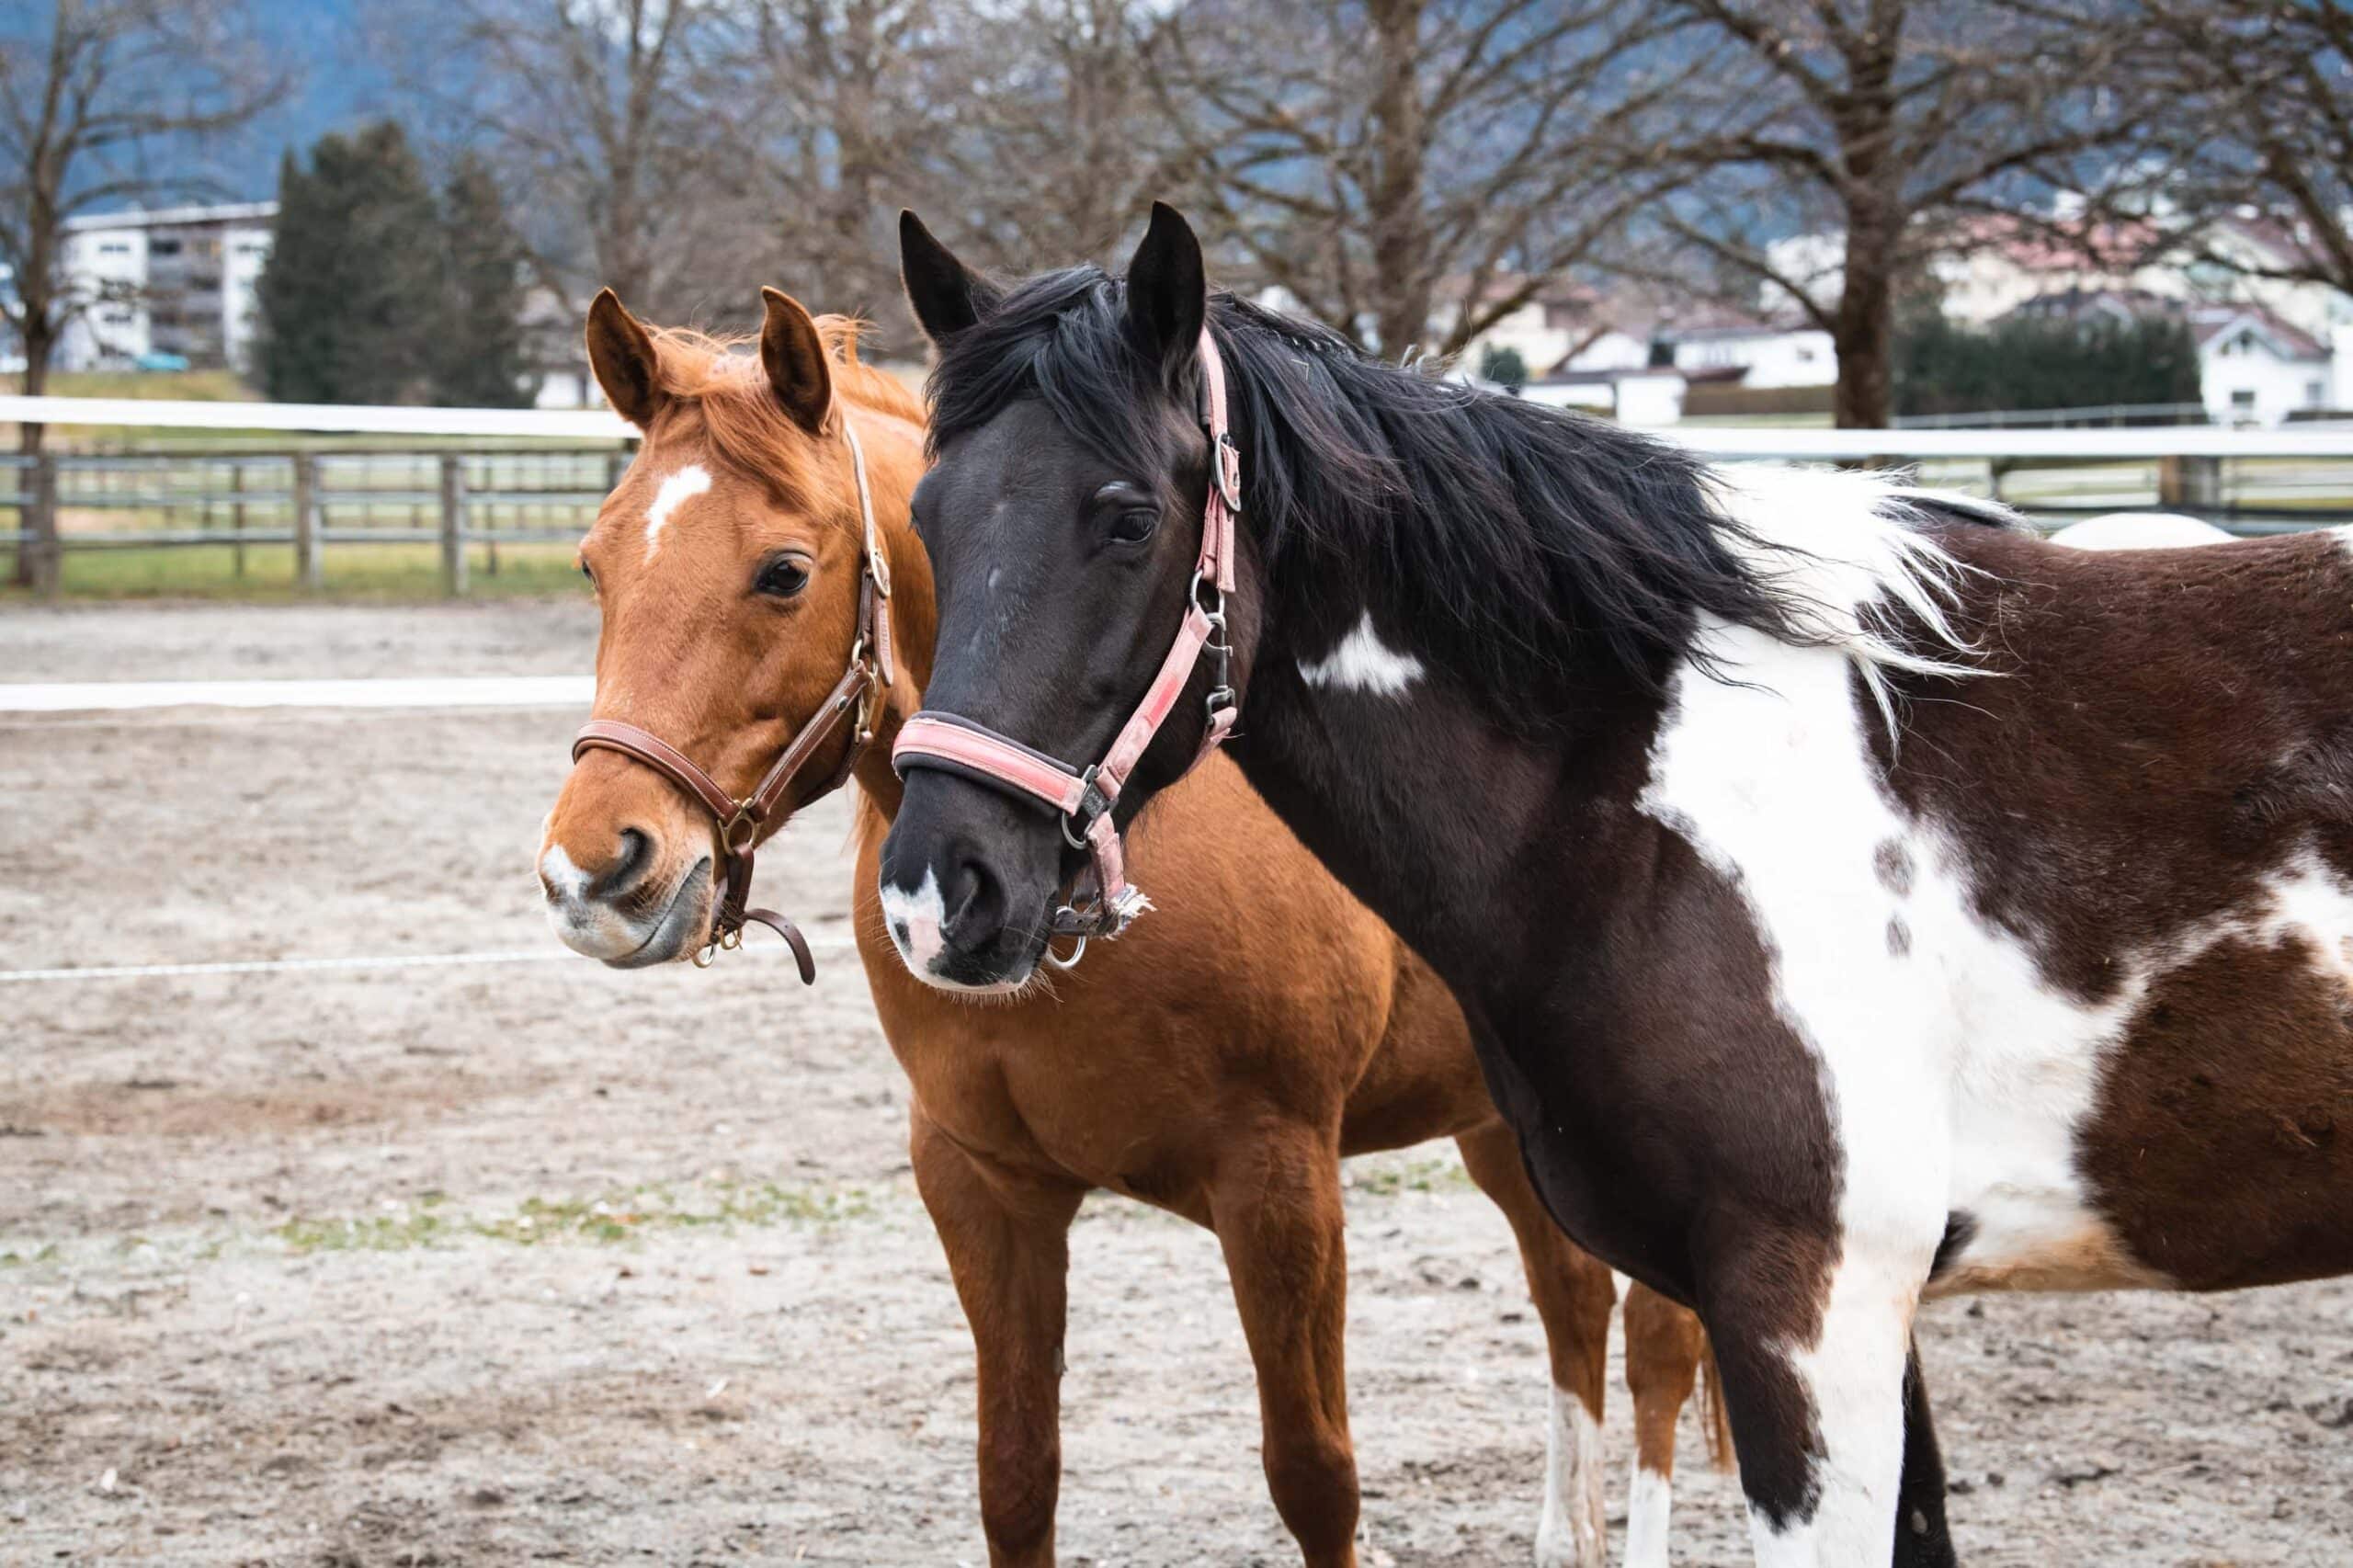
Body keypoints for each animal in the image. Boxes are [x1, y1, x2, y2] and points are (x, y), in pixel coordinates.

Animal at [534, 286, 1730, 1568]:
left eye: (783, 571)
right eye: (596, 562)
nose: (594, 868)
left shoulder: (1278, 1185)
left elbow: (1316, 1475)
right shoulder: (983, 1186)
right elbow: (1016, 1477)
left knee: (1657, 1344)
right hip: (1501, 1123)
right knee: (1571, 1297)